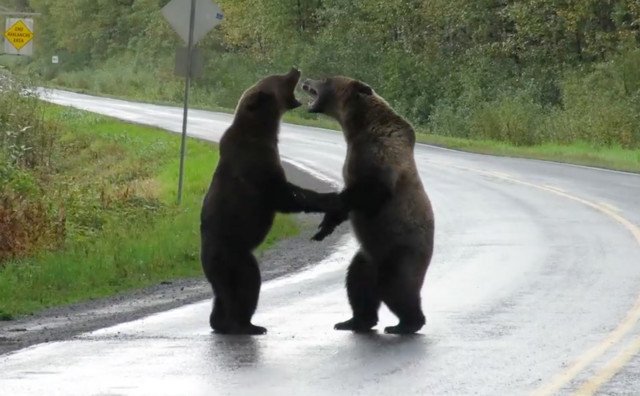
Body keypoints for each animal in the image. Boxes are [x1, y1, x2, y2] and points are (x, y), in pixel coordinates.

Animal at [201, 69, 344, 334]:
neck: (263, 130)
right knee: (246, 285)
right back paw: (246, 325)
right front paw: (331, 198)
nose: (295, 68)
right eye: (279, 77)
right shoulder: (257, 167)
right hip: (234, 255)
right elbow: (286, 196)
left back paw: (224, 322)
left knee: (222, 297)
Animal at [302, 76, 436, 334]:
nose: (305, 80)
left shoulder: (381, 153)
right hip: (368, 256)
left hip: (401, 250)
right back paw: (355, 320)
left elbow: (371, 189)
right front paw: (324, 227)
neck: (357, 127)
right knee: (358, 282)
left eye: (325, 79)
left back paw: (406, 323)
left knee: (396, 287)